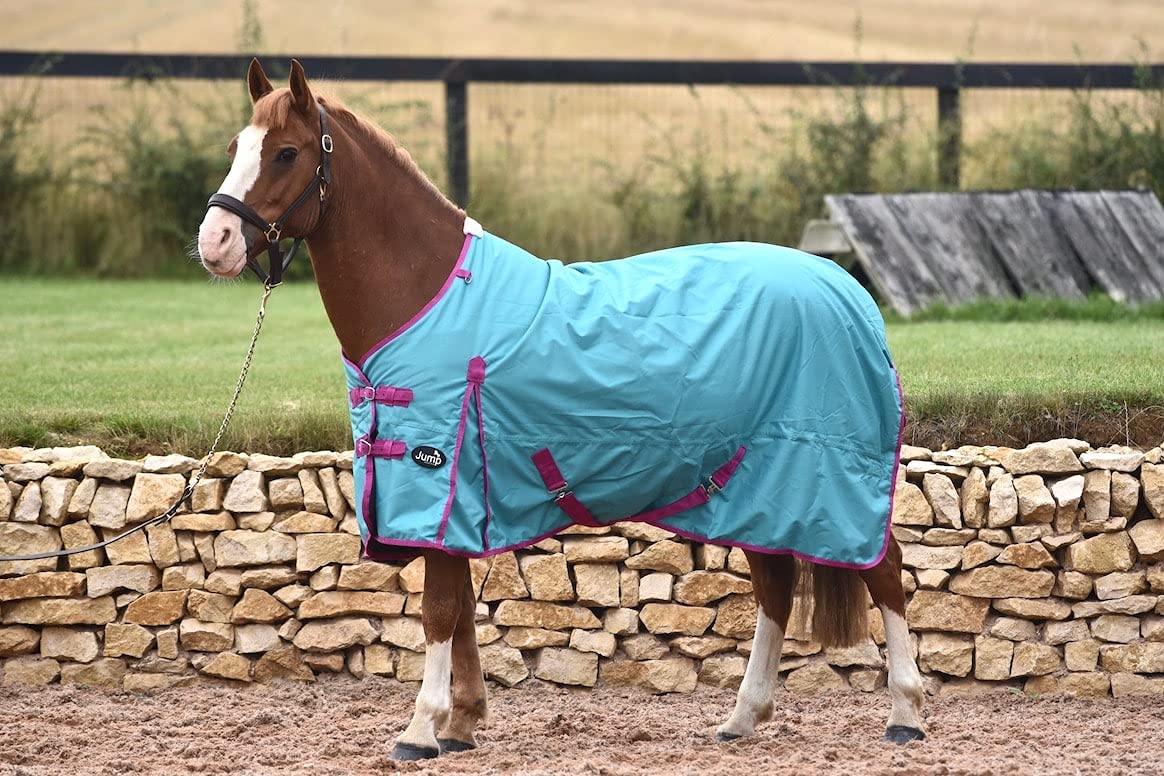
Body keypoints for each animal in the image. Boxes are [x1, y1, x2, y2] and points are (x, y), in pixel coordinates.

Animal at [197, 58, 926, 761]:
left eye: (286, 153)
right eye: (235, 147)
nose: (216, 241)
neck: (429, 295)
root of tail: (846, 289)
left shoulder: (440, 481)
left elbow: (438, 610)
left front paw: (420, 729)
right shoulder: (461, 501)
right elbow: (461, 610)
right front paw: (462, 723)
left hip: (828, 482)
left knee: (885, 572)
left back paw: (905, 715)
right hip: (756, 487)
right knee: (776, 586)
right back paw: (743, 719)